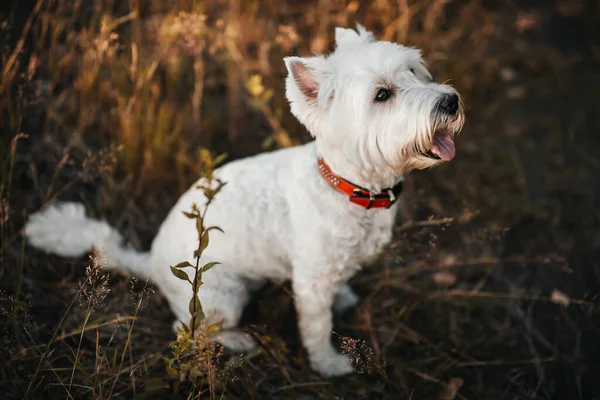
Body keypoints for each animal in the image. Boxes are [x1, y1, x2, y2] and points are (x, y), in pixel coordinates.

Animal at [24, 24, 464, 376]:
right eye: (382, 95)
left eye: (413, 69)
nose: (450, 101)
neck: (347, 186)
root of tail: (150, 261)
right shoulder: (311, 282)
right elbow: (317, 327)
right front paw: (328, 365)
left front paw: (344, 298)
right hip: (220, 295)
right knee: (190, 329)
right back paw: (235, 340)